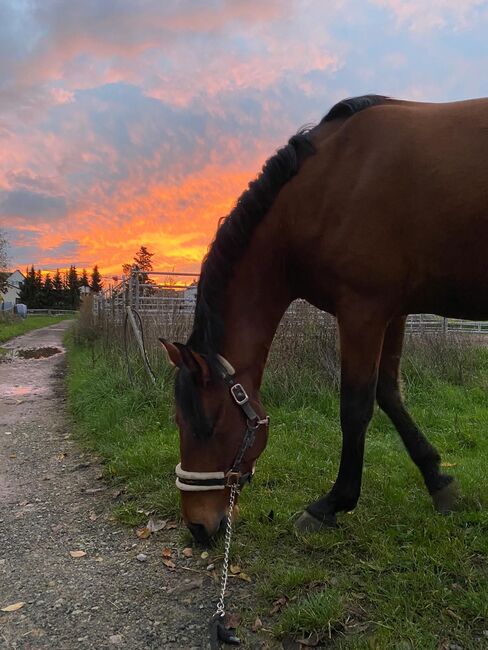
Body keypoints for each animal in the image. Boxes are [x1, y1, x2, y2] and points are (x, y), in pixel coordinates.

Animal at [161, 95, 488, 540]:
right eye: (178, 422)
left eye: (207, 426)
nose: (198, 526)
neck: (328, 185)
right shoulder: (393, 311)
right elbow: (389, 393)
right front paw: (439, 481)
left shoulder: (363, 312)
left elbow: (355, 407)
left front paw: (331, 503)